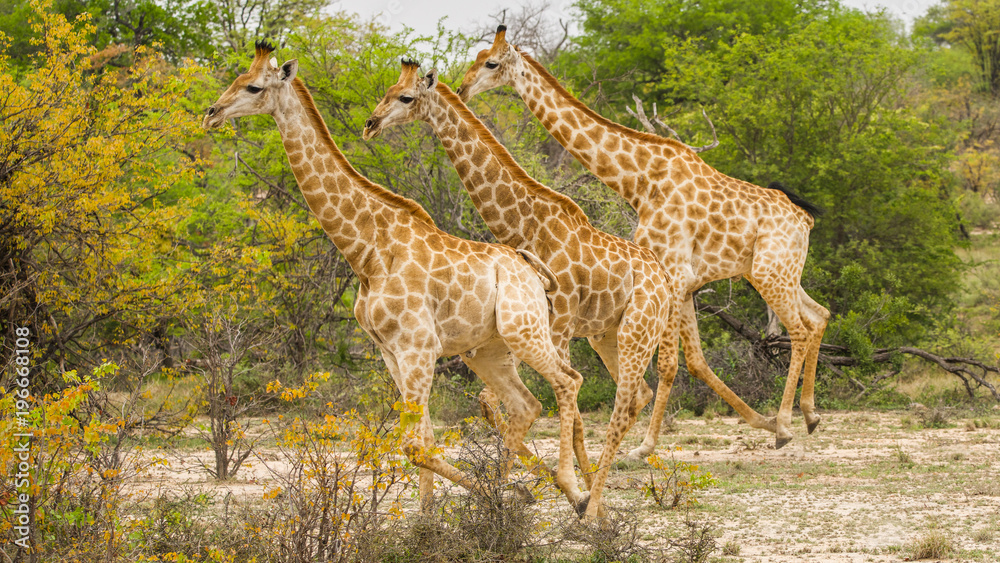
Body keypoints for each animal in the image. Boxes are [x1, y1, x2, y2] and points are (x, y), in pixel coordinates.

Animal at [202, 41, 592, 512]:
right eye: (236, 79)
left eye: (254, 87)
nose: (211, 113)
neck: (367, 251)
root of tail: (532, 268)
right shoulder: (393, 352)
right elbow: (424, 441)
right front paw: (432, 517)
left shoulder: (417, 347)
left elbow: (413, 444)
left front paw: (500, 496)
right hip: (488, 350)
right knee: (527, 404)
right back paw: (537, 494)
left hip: (525, 331)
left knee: (568, 382)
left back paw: (577, 493)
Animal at [363, 60, 673, 519]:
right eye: (385, 90)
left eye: (406, 97)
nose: (371, 124)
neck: (525, 225)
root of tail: (664, 277)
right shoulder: (529, 332)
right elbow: (499, 403)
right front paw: (542, 486)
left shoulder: (557, 326)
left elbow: (569, 406)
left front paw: (573, 493)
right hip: (605, 336)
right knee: (636, 395)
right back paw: (594, 487)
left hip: (637, 330)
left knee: (621, 404)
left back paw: (593, 505)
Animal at [458, 26, 830, 451]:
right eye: (478, 56)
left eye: (491, 63)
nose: (463, 88)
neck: (639, 181)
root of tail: (805, 218)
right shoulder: (681, 282)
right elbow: (694, 362)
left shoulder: (673, 273)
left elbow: (668, 364)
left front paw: (645, 446)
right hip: (776, 271)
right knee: (819, 316)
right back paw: (810, 415)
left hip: (771, 273)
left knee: (798, 330)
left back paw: (785, 425)